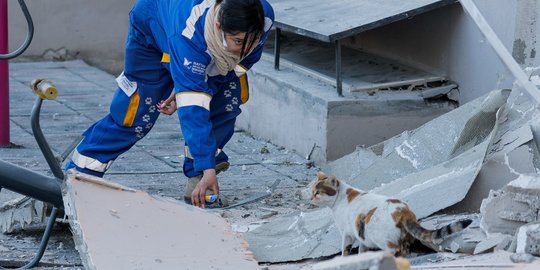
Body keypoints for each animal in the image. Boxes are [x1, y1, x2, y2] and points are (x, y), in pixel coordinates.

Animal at [310, 172, 470, 256]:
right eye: (312, 191)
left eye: (318, 192)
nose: (310, 198)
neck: (339, 200)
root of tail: (404, 211)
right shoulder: (360, 235)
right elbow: (362, 250)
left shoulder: (347, 234)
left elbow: (345, 251)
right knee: (404, 251)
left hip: (379, 236)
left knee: (394, 249)